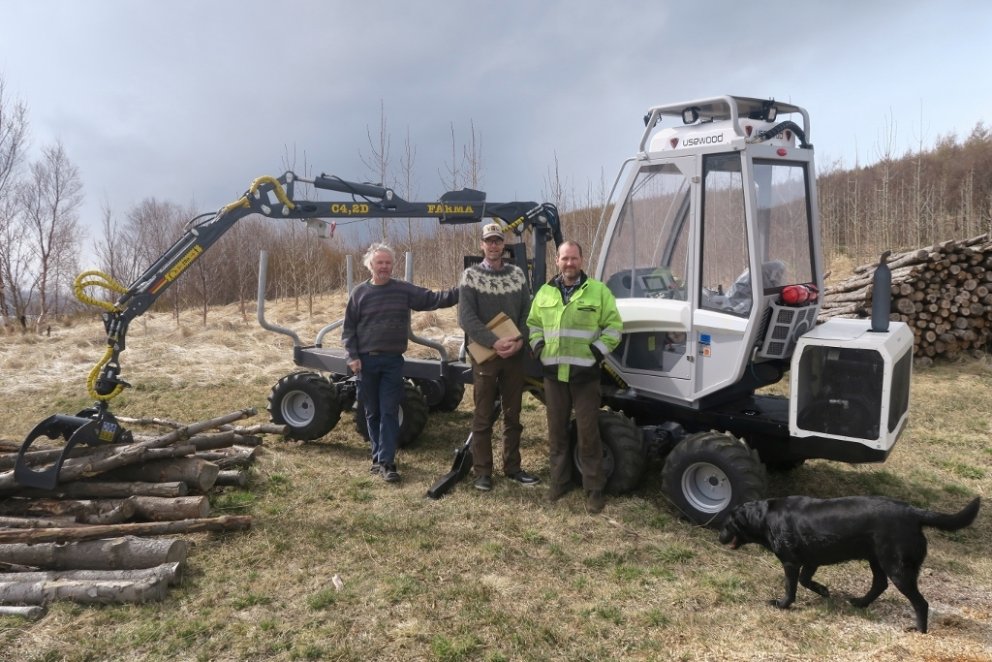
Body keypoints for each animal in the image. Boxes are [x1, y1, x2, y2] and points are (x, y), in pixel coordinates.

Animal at [716, 498, 980, 632]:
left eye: (727, 523)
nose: (718, 537)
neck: (765, 517)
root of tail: (914, 513)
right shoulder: (811, 560)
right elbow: (805, 580)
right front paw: (823, 590)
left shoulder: (790, 562)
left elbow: (791, 588)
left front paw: (782, 605)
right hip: (877, 560)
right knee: (880, 585)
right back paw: (860, 603)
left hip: (898, 567)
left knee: (920, 602)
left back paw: (919, 630)